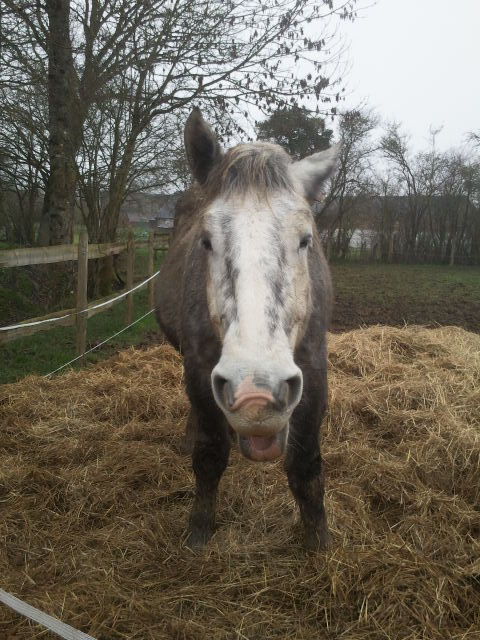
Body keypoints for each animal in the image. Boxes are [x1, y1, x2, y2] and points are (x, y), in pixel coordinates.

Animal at [156, 110, 340, 552]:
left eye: (306, 239)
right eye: (206, 240)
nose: (255, 392)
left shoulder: (314, 372)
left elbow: (306, 464)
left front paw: (319, 543)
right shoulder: (200, 370)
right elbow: (208, 456)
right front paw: (199, 531)